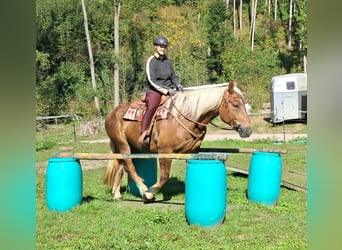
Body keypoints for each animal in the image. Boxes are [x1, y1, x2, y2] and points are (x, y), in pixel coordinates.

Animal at [101, 81, 251, 202]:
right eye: (236, 105)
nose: (248, 130)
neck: (188, 117)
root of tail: (112, 113)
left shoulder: (192, 152)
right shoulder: (165, 152)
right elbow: (164, 176)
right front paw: (150, 193)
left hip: (132, 147)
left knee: (122, 167)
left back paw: (117, 194)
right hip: (123, 145)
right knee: (129, 166)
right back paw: (144, 190)